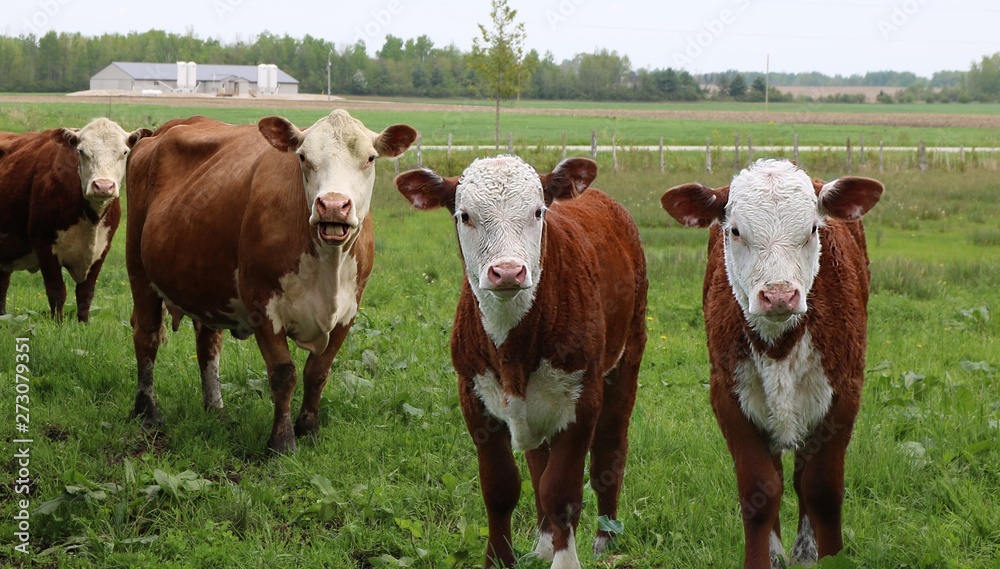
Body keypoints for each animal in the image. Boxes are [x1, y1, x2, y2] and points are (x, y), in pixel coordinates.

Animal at [0, 118, 151, 322]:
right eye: (81, 151)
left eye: (124, 152)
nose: (103, 186)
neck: (90, 220)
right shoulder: (44, 244)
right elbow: (57, 292)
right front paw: (57, 324)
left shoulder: (102, 248)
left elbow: (85, 292)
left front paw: (83, 324)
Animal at [124, 110, 416, 453]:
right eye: (303, 157)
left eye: (370, 158)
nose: (333, 205)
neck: (327, 268)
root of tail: (163, 130)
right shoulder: (262, 304)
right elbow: (283, 373)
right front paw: (282, 441)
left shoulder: (348, 311)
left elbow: (318, 372)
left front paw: (310, 429)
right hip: (138, 270)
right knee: (146, 336)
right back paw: (147, 412)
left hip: (206, 283)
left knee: (208, 344)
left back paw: (216, 409)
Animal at [395, 156, 648, 569]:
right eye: (465, 215)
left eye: (538, 211)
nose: (508, 271)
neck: (513, 349)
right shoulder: (473, 396)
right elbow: (502, 488)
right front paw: (500, 559)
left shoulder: (582, 397)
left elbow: (561, 491)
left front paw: (566, 560)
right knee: (537, 459)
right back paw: (545, 542)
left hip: (629, 351)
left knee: (610, 446)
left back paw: (605, 536)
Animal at [660, 158, 883, 569]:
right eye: (735, 230)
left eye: (812, 228)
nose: (779, 295)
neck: (779, 344)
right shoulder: (728, 396)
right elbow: (760, 489)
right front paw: (764, 557)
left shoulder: (844, 394)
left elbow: (822, 489)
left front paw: (823, 554)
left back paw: (804, 551)